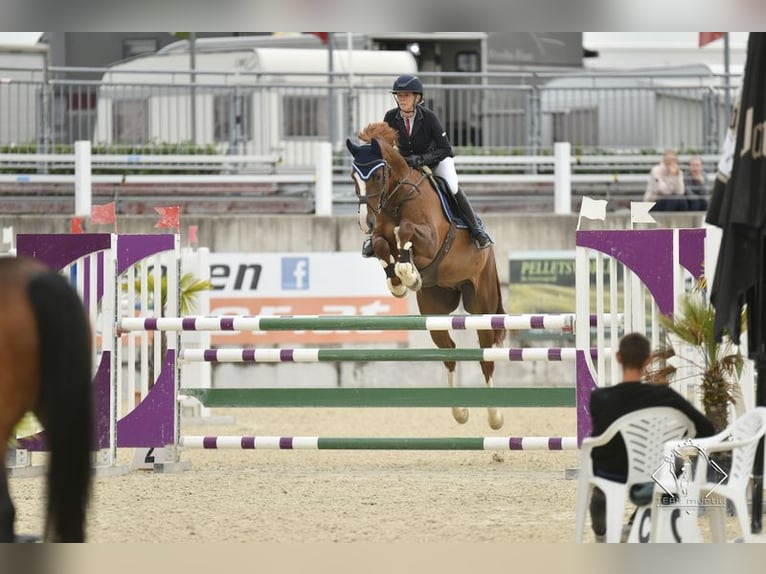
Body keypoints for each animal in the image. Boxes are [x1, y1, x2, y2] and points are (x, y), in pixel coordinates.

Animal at [348, 124, 510, 430]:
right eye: (353, 177)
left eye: (377, 175)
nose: (365, 222)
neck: (396, 198)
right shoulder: (380, 237)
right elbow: (381, 244)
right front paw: (400, 281)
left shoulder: (431, 239)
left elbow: (405, 230)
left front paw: (407, 273)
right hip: (435, 310)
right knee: (449, 353)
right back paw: (460, 412)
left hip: (480, 304)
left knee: (486, 356)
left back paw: (495, 417)